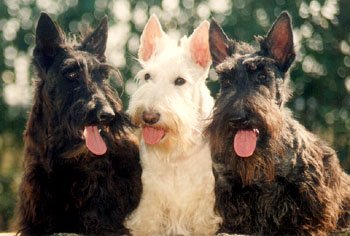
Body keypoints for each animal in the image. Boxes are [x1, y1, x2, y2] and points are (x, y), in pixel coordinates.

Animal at [126, 15, 221, 235]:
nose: (149, 116)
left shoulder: (204, 200)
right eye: (147, 76)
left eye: (180, 80)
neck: (175, 153)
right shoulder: (150, 198)